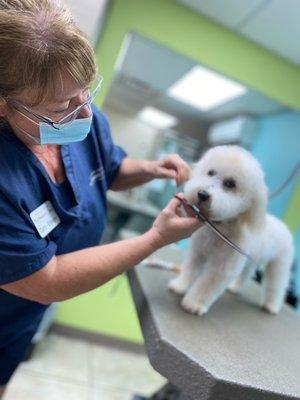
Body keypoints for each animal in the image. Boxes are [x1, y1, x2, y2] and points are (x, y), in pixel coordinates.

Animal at [169, 145, 296, 316]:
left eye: (230, 184)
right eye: (210, 172)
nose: (202, 194)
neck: (219, 226)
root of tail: (283, 226)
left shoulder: (222, 267)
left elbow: (206, 286)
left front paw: (193, 304)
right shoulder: (197, 253)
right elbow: (190, 270)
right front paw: (180, 286)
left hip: (280, 263)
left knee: (277, 284)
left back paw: (272, 305)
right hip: (250, 261)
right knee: (246, 274)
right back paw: (235, 288)